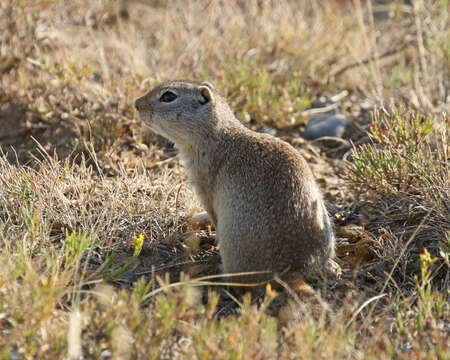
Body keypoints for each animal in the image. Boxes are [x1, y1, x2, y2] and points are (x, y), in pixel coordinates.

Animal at [135, 81, 340, 286]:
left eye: (168, 96)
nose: (137, 104)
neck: (214, 136)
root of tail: (291, 270)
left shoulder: (203, 187)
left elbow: (213, 216)